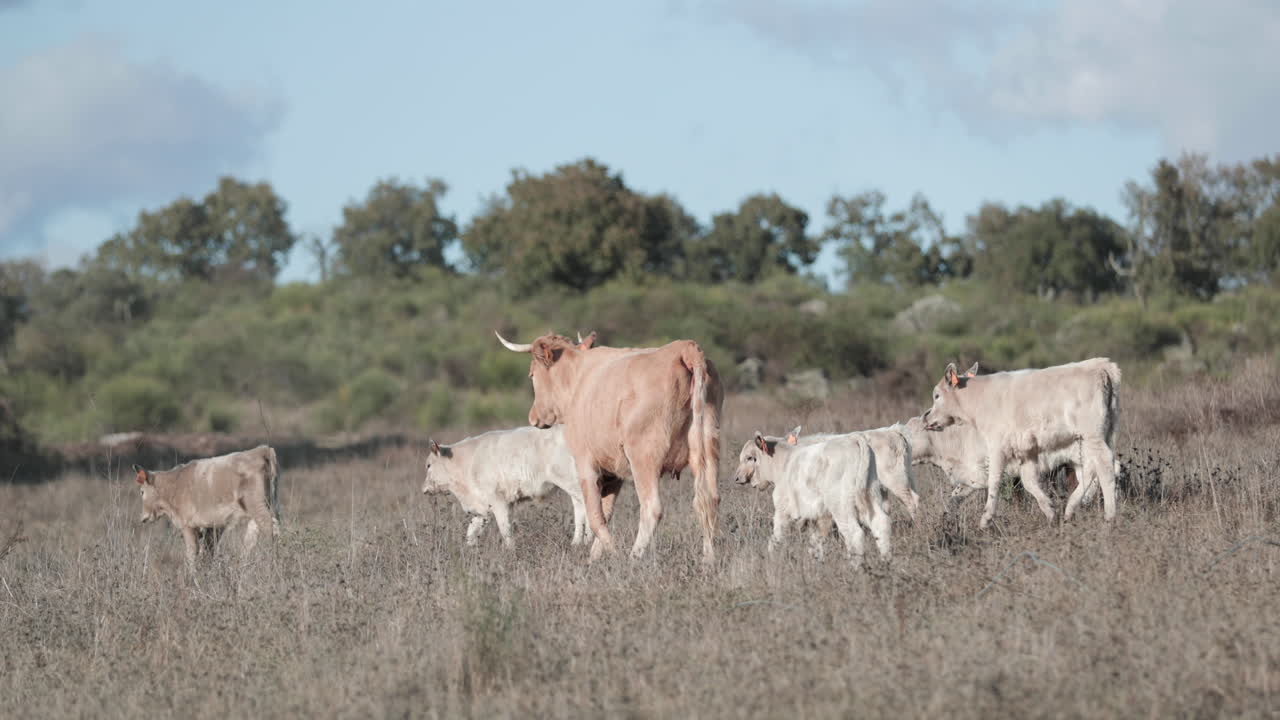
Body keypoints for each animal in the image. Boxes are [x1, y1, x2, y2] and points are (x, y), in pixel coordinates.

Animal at [134, 445, 281, 570]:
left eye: (142, 492)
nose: (143, 518)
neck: (174, 485)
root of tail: (262, 449)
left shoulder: (188, 525)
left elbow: (192, 552)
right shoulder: (213, 526)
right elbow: (208, 550)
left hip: (258, 506)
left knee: (268, 527)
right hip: (267, 505)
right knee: (256, 534)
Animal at [421, 424, 590, 547]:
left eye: (428, 465)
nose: (423, 489)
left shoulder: (498, 501)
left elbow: (505, 529)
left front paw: (510, 550)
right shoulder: (483, 508)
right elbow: (471, 532)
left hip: (573, 482)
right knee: (580, 509)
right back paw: (577, 542)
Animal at [496, 330, 722, 562]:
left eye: (532, 375)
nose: (533, 417)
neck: (577, 379)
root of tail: (683, 348)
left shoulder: (585, 464)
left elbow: (595, 517)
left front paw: (613, 554)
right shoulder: (614, 472)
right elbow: (605, 513)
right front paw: (594, 558)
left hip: (644, 457)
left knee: (652, 508)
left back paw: (633, 558)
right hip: (708, 446)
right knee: (708, 500)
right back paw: (709, 559)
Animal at [732, 427, 891, 565]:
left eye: (750, 458)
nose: (737, 478)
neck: (785, 463)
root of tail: (853, 439)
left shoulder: (783, 510)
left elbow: (776, 538)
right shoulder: (819, 517)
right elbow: (816, 542)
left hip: (841, 506)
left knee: (854, 534)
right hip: (871, 495)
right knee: (881, 524)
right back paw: (886, 562)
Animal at [922, 358, 1122, 527]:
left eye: (937, 395)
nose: (926, 417)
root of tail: (1101, 366)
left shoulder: (997, 446)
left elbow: (994, 480)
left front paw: (986, 519)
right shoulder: (1028, 450)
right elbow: (1029, 481)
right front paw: (1050, 511)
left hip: (1092, 434)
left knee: (1105, 464)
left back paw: (1110, 517)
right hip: (1096, 435)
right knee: (1092, 467)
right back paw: (1070, 508)